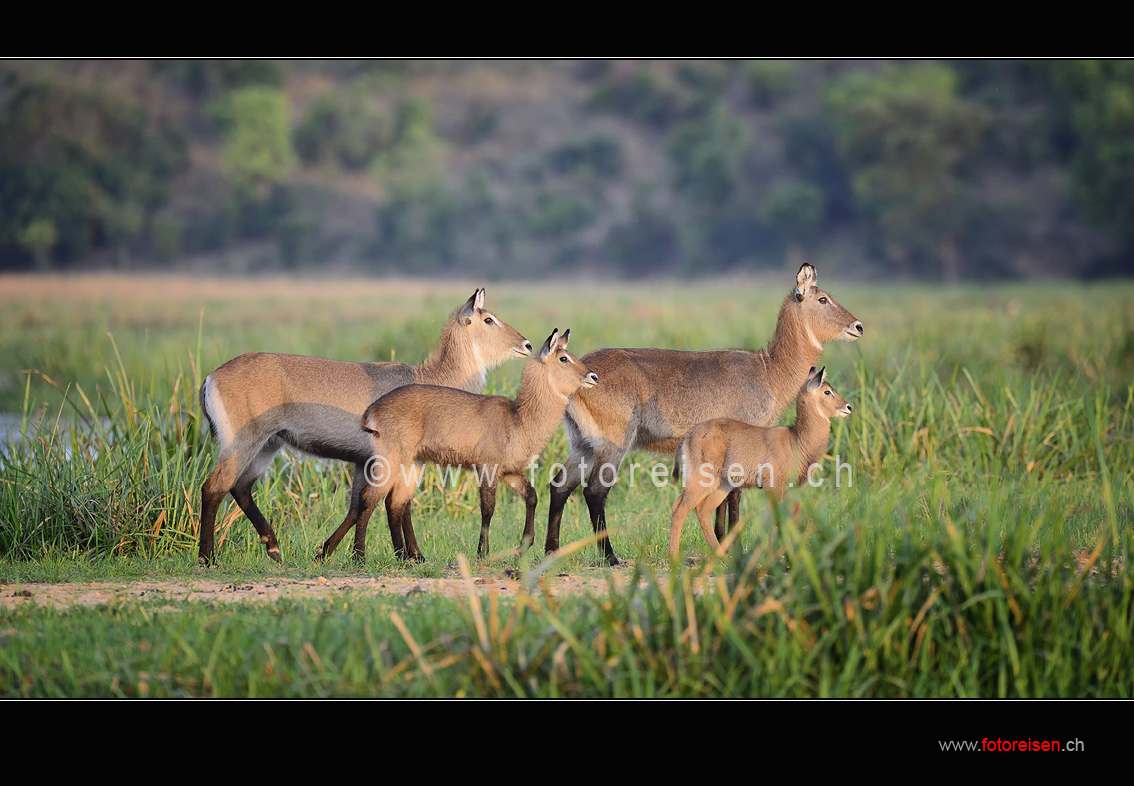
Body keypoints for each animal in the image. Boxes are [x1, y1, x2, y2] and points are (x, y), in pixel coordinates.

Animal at [196, 288, 530, 564]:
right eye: (488, 319)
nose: (526, 344)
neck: (429, 379)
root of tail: (211, 377)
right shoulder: (402, 458)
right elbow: (398, 504)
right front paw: (410, 555)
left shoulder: (365, 460)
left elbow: (360, 505)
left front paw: (326, 551)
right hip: (244, 440)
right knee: (214, 486)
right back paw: (208, 558)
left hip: (269, 443)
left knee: (240, 486)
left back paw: (274, 548)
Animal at [317, 328, 598, 560]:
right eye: (564, 358)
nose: (593, 376)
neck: (519, 418)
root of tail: (372, 410)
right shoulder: (487, 468)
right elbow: (488, 509)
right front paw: (483, 553)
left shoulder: (509, 471)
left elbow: (531, 496)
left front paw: (523, 547)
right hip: (391, 460)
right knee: (368, 499)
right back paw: (359, 556)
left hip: (412, 464)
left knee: (394, 503)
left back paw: (401, 557)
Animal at [666, 367, 848, 558]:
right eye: (827, 391)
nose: (848, 407)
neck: (796, 440)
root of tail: (689, 435)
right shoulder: (773, 487)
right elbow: (775, 518)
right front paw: (772, 554)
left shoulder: (794, 489)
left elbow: (792, 519)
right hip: (701, 481)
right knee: (680, 509)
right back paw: (674, 556)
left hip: (721, 485)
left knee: (701, 510)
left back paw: (721, 556)